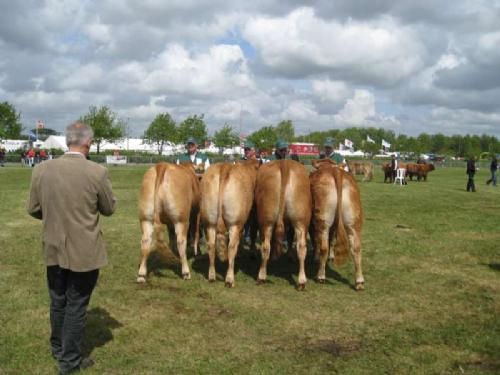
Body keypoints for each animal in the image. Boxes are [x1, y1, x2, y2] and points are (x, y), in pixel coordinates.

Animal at [200, 159, 260, 288]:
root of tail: (225, 168)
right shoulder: (251, 217)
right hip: (235, 223)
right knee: (231, 247)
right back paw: (229, 280)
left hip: (209, 221)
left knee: (211, 245)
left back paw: (211, 276)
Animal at [256, 160, 310, 290]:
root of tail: (284, 163)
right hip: (300, 220)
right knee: (301, 247)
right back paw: (301, 281)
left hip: (266, 221)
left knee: (265, 246)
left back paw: (261, 276)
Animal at [308, 159, 364, 290]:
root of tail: (336, 171)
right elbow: (332, 240)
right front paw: (331, 256)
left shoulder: (312, 225)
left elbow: (315, 240)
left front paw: (315, 257)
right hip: (353, 222)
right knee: (356, 248)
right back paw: (359, 281)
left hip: (322, 221)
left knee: (323, 247)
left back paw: (321, 276)